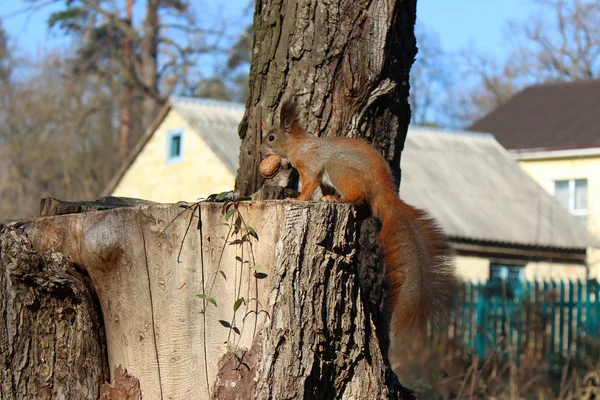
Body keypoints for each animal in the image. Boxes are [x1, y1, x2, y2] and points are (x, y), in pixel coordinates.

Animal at [258, 97, 460, 346]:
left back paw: (338, 199)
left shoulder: (311, 168)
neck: (299, 144)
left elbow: (308, 186)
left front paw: (297, 199)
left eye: (271, 137)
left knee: (357, 196)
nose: (260, 151)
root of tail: (382, 192)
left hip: (338, 168)